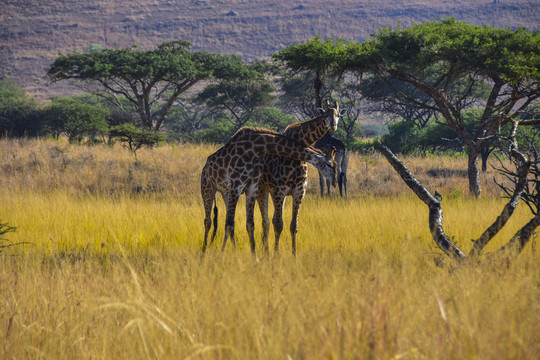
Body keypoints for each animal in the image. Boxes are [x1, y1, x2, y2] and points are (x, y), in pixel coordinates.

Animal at [198, 126, 336, 253]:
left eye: (335, 165)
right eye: (329, 165)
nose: (334, 182)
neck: (255, 148)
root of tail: (205, 167)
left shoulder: (251, 189)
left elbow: (249, 224)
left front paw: (254, 257)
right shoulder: (236, 187)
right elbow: (230, 224)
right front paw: (221, 255)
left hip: (225, 192)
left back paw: (233, 250)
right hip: (207, 188)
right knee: (208, 221)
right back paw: (203, 253)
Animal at [256, 100, 344, 255]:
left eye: (338, 115)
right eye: (326, 115)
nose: (333, 126)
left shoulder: (298, 191)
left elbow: (293, 226)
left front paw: (294, 254)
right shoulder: (280, 190)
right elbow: (278, 224)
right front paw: (276, 255)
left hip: (272, 191)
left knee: (270, 219)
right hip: (261, 189)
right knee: (265, 220)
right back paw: (266, 251)